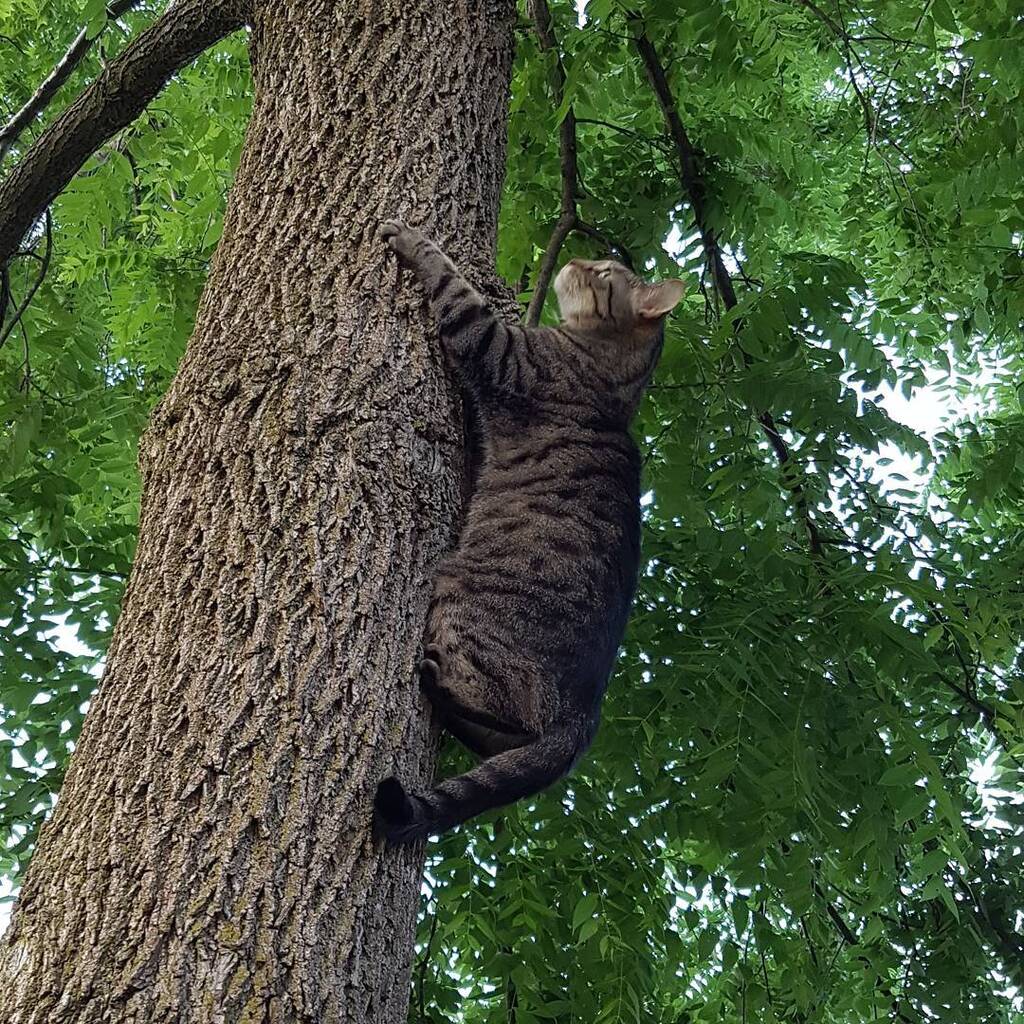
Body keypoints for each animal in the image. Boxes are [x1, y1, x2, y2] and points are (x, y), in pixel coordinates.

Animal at [372, 220, 684, 843]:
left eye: (606, 274)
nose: (580, 259)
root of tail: (584, 718)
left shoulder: (499, 350)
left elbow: (453, 284)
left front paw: (413, 239)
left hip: (463, 603)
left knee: (509, 705)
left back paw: (438, 683)